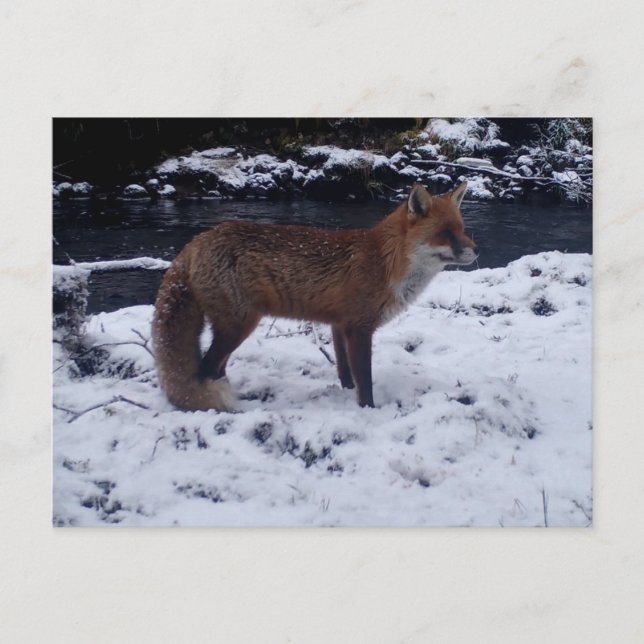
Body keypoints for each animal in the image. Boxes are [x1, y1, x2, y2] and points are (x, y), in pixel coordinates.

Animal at [152, 182, 478, 411]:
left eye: (462, 229)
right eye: (445, 234)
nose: (476, 251)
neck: (386, 262)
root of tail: (195, 242)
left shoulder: (339, 325)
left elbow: (345, 372)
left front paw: (347, 394)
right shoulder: (359, 328)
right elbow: (365, 380)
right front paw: (369, 410)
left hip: (233, 330)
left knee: (217, 369)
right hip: (238, 326)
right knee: (206, 370)